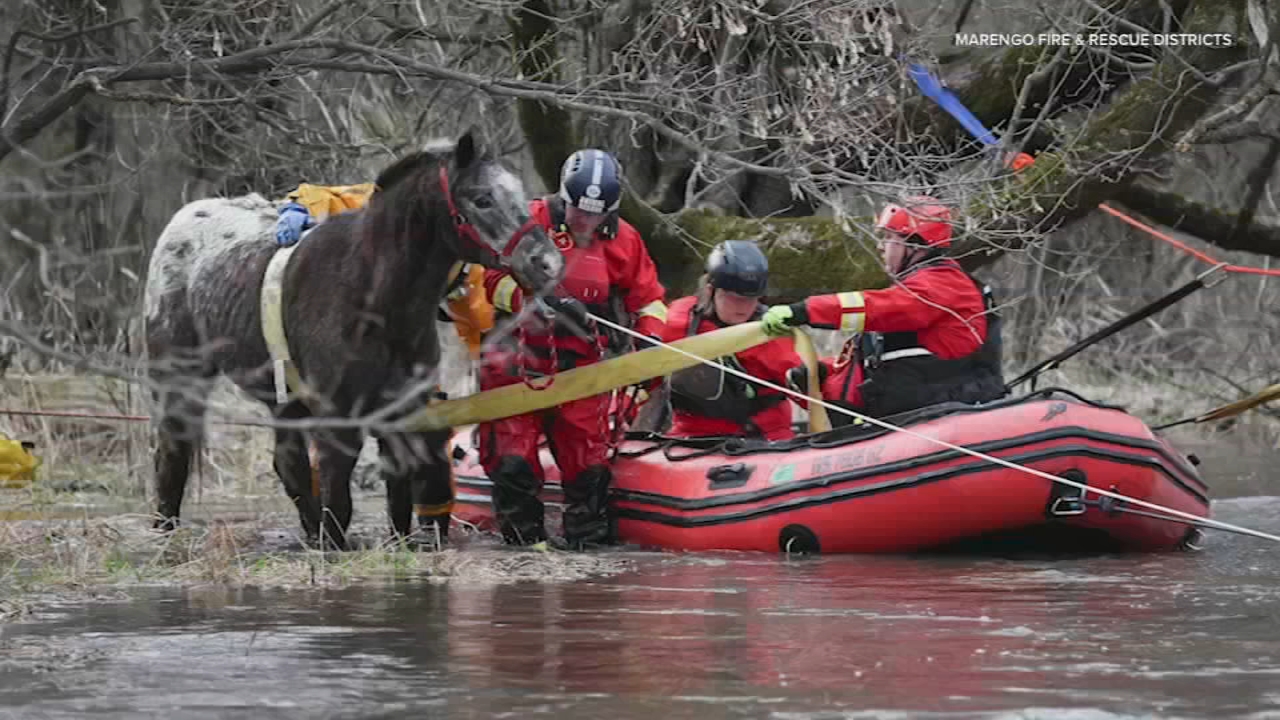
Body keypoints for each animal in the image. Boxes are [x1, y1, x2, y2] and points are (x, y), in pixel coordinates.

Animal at [142, 129, 563, 550]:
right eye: (482, 198)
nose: (548, 262)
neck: (370, 294)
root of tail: (182, 221)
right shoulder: (338, 418)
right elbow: (340, 499)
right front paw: (334, 546)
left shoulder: (401, 409)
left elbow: (399, 495)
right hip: (179, 378)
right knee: (173, 452)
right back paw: (166, 530)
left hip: (284, 401)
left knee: (289, 464)